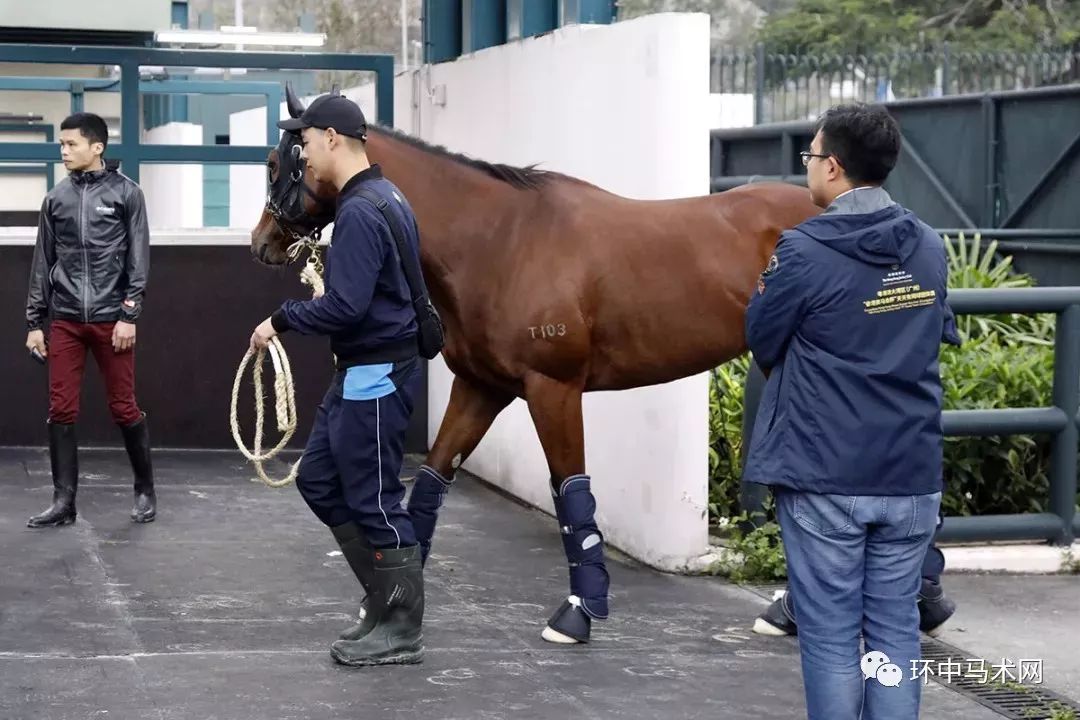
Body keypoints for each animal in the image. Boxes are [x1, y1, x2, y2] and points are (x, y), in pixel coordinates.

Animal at [248, 85, 812, 647]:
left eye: (277, 163)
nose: (261, 243)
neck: (501, 240)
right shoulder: (480, 387)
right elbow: (430, 481)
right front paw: (391, 600)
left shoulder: (553, 389)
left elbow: (571, 492)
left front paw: (579, 611)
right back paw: (786, 612)